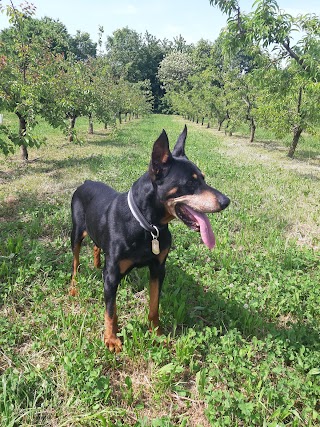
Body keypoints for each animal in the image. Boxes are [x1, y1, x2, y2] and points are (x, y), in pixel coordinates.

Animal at [70, 125, 230, 352]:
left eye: (203, 178)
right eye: (190, 182)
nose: (226, 201)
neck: (148, 225)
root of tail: (85, 182)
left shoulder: (158, 268)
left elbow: (154, 305)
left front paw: (157, 333)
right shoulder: (111, 275)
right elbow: (110, 310)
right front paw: (111, 338)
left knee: (96, 246)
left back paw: (96, 262)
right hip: (76, 232)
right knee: (75, 262)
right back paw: (74, 286)